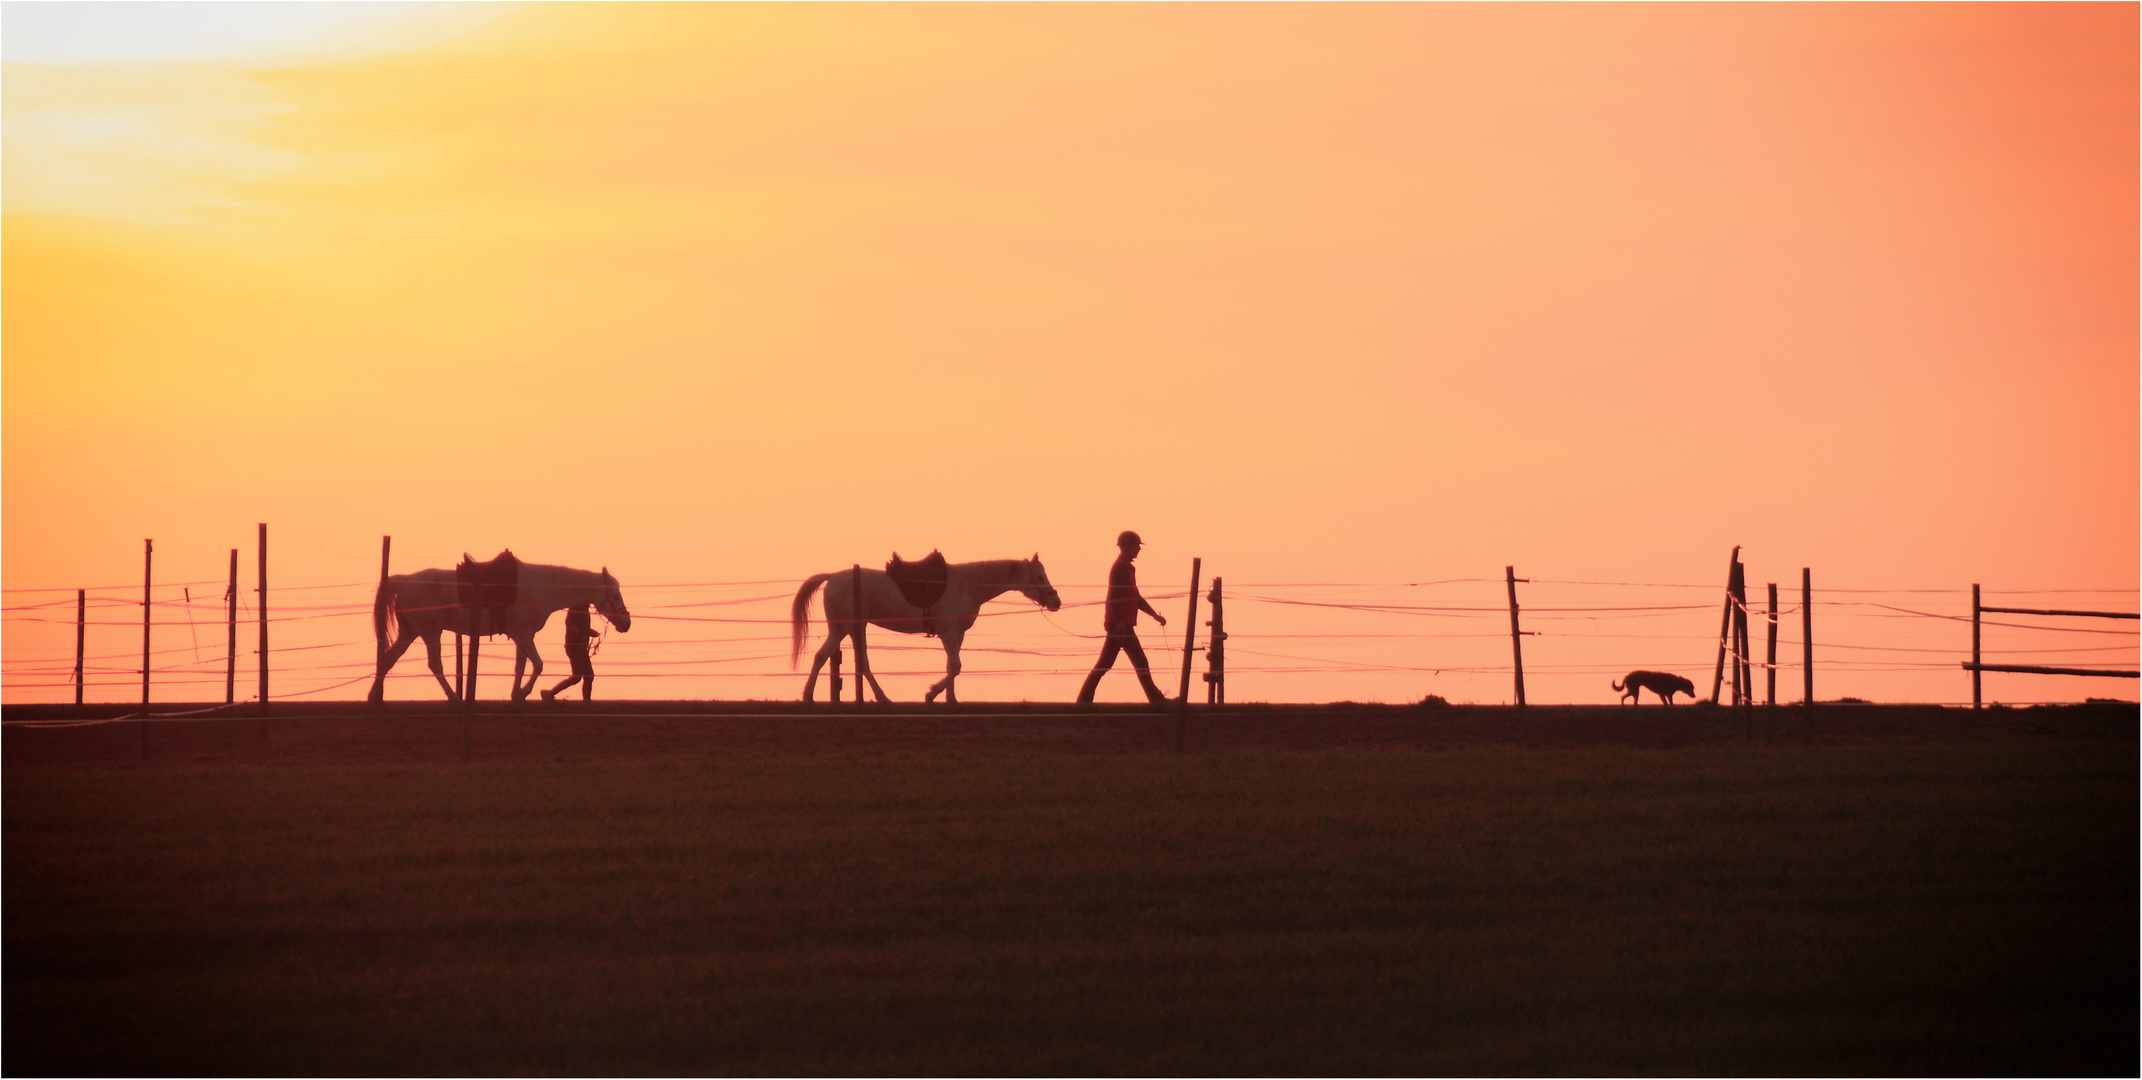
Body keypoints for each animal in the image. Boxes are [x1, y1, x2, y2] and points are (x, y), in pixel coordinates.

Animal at [370, 561, 625, 702]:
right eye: (614, 595)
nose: (626, 623)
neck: (541, 586)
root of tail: (405, 581)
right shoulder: (523, 635)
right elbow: (538, 664)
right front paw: (523, 693)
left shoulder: (523, 636)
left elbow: (521, 666)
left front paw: (516, 694)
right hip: (430, 632)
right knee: (435, 665)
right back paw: (454, 697)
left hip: (410, 631)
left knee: (389, 659)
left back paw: (373, 696)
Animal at [792, 552, 1058, 702]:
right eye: (1039, 577)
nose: (1056, 601)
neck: (968, 584)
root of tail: (831, 577)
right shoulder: (949, 633)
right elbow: (956, 666)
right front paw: (932, 693)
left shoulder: (957, 635)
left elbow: (952, 666)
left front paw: (951, 698)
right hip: (851, 627)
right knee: (857, 662)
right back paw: (879, 697)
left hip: (842, 628)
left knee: (824, 657)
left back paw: (810, 695)